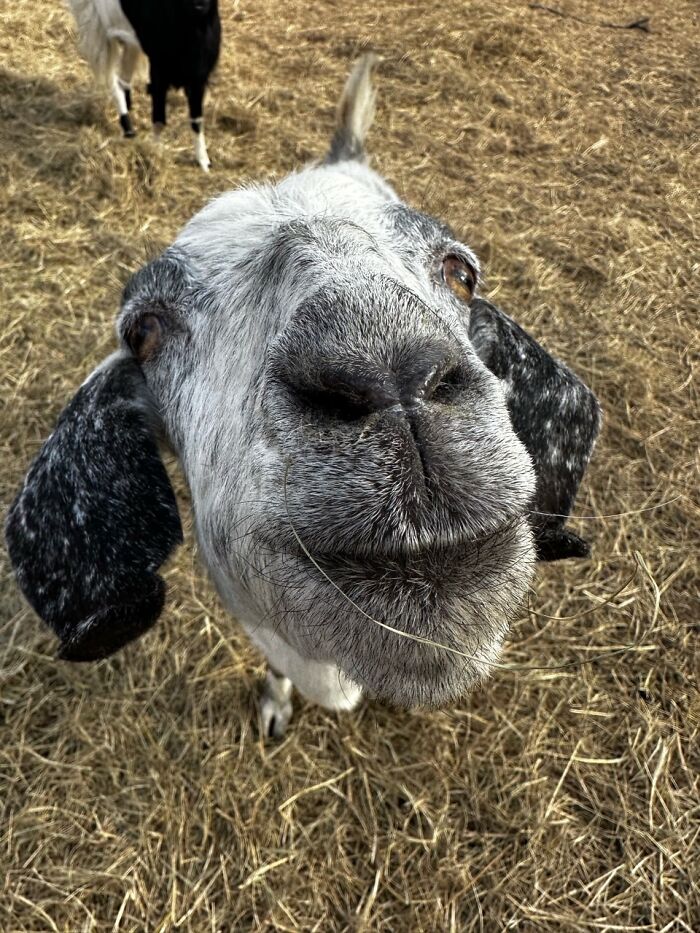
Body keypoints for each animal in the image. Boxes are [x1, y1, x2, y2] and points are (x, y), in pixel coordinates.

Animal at [66, 0, 221, 170]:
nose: (199, 5)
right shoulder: (158, 71)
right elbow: (159, 119)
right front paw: (155, 154)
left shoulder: (199, 77)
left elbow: (197, 120)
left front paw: (204, 162)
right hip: (97, 30)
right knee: (112, 80)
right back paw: (128, 128)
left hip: (129, 38)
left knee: (123, 80)